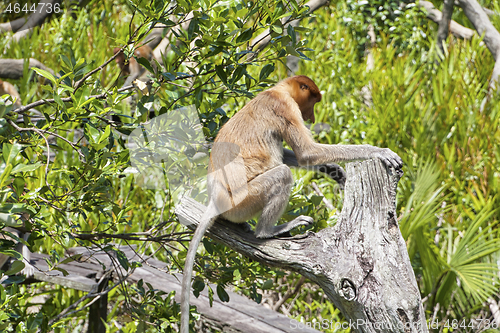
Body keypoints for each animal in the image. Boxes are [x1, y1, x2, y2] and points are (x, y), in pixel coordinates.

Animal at [180, 74, 402, 330]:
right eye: (313, 101)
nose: (312, 117)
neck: (277, 90)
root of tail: (215, 200)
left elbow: (299, 155)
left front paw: (334, 170)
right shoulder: (285, 108)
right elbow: (307, 151)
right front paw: (378, 152)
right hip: (244, 200)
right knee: (282, 174)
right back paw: (269, 231)